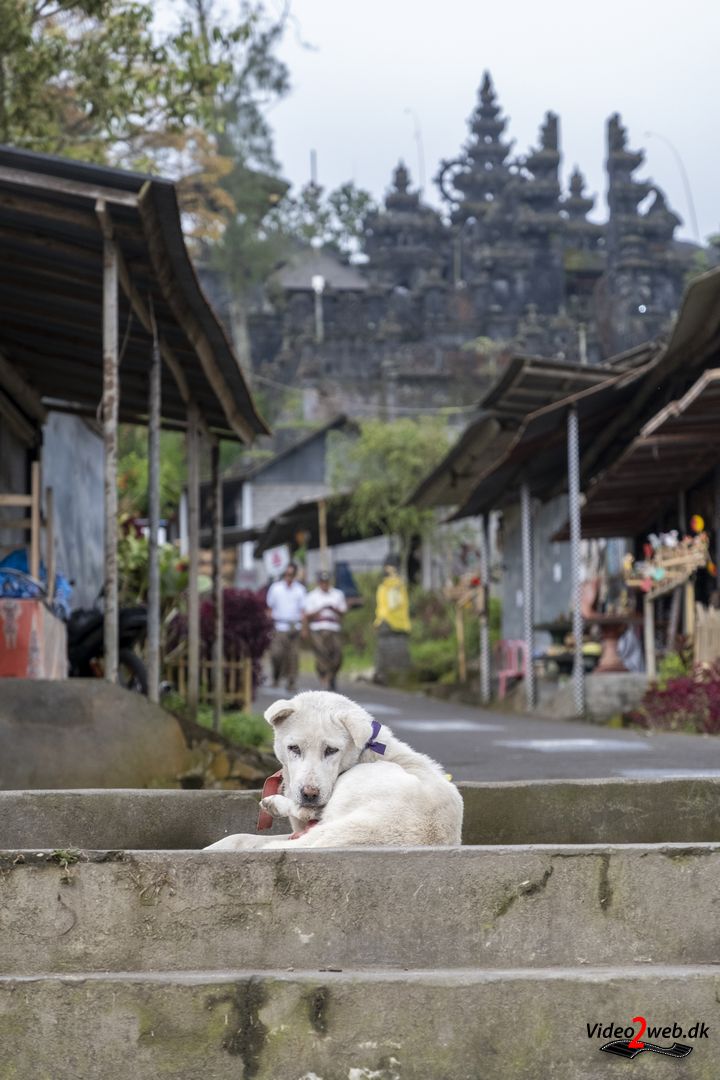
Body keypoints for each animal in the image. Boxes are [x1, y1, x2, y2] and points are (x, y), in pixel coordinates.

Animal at [204, 690, 463, 849]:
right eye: (294, 748)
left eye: (331, 750)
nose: (309, 794)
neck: (367, 751)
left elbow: (304, 814)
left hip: (356, 784)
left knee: (307, 814)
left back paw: (274, 804)